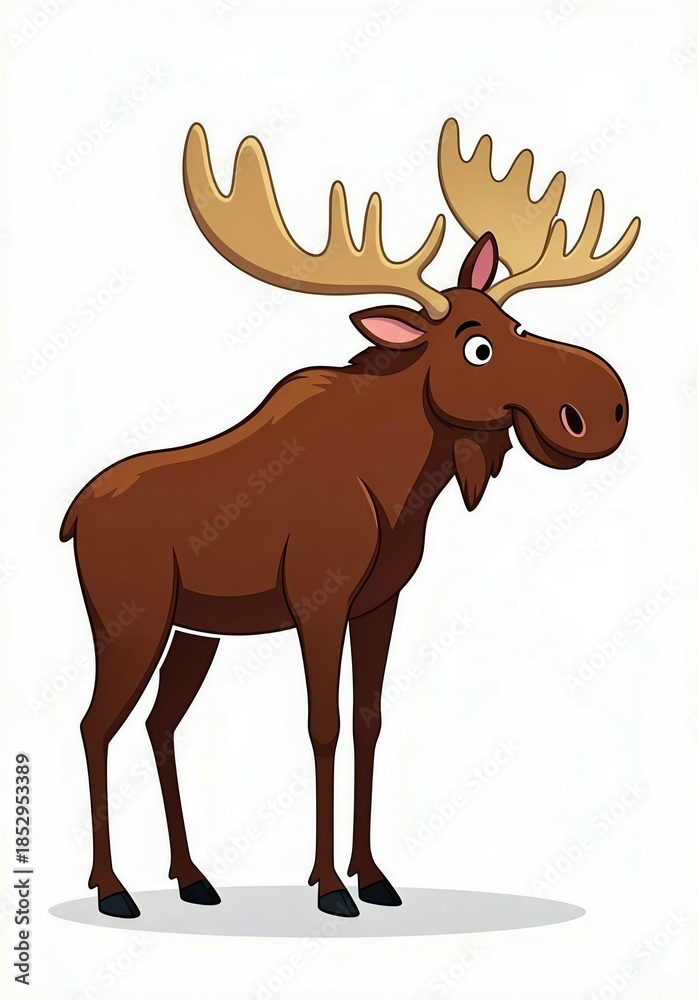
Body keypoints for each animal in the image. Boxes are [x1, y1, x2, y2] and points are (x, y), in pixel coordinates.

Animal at [60, 118, 640, 919]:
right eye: (477, 344)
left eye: (514, 321)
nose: (602, 406)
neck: (402, 485)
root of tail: (72, 514)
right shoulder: (318, 598)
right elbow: (323, 725)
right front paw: (331, 886)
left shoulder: (379, 602)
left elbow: (368, 721)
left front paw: (372, 874)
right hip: (130, 622)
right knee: (94, 725)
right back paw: (114, 888)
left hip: (194, 630)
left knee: (158, 722)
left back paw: (192, 876)